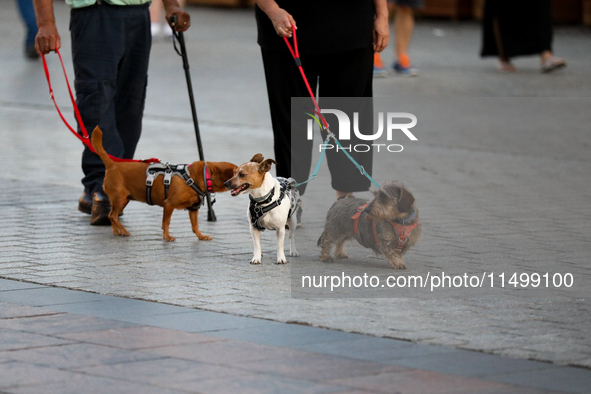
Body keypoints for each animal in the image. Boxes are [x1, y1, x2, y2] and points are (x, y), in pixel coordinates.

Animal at [91, 127, 235, 242]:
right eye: (238, 172)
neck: (198, 177)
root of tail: (112, 164)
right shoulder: (169, 204)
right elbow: (166, 222)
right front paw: (166, 236)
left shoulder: (193, 209)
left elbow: (195, 225)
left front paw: (201, 236)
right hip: (120, 199)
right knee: (112, 215)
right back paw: (123, 230)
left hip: (124, 200)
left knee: (112, 215)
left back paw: (117, 231)